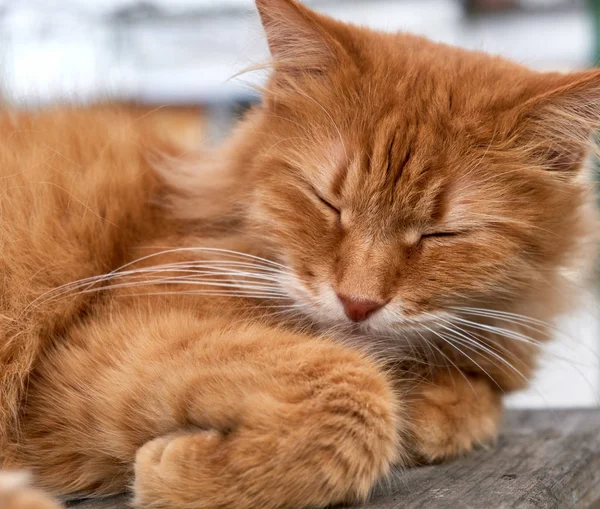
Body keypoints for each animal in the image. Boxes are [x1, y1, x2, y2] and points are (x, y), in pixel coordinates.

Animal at [0, 0, 596, 508]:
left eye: (441, 234)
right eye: (327, 202)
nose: (357, 303)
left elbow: (467, 405)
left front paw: (438, 408)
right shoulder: (109, 340)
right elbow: (356, 392)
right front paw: (181, 475)